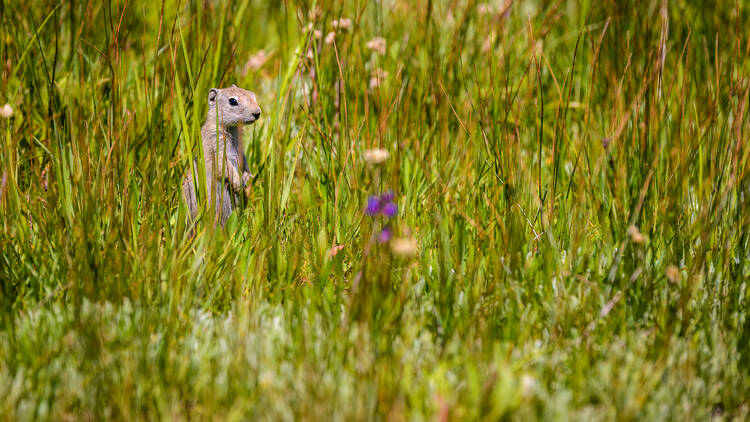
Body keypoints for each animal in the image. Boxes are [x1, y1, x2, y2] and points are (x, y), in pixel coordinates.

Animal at [183, 83, 262, 226]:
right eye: (233, 101)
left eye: (251, 94)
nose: (257, 113)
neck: (230, 128)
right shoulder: (215, 143)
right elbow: (222, 163)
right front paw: (237, 183)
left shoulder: (240, 146)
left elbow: (244, 159)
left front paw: (247, 176)